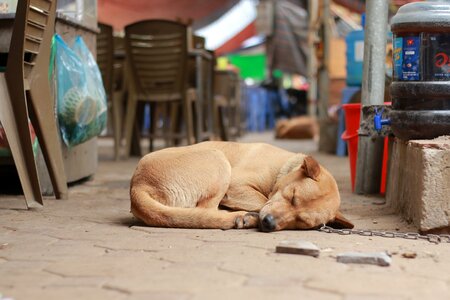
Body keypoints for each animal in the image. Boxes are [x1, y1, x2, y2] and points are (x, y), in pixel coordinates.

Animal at [128, 142, 354, 231]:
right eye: (292, 196)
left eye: (303, 222)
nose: (269, 223)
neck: (283, 166)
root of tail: (137, 186)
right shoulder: (237, 185)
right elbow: (262, 201)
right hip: (217, 158)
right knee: (205, 211)